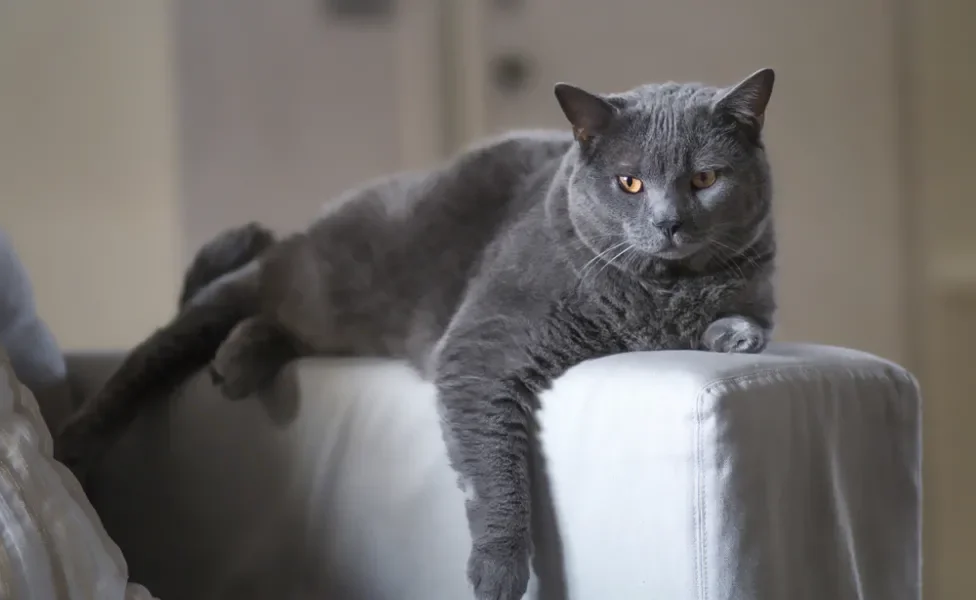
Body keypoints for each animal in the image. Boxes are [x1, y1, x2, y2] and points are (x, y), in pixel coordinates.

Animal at [59, 68, 776, 596]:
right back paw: (73, 451)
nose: (668, 222)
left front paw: (734, 335)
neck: (657, 295)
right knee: (144, 364)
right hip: (266, 286)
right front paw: (498, 573)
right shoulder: (480, 347)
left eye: (704, 178)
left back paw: (237, 362)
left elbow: (744, 319)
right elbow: (494, 467)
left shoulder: (753, 291)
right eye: (630, 182)